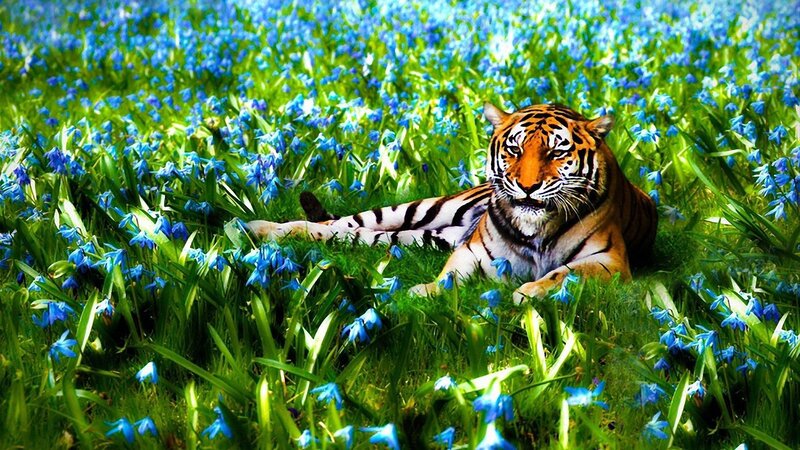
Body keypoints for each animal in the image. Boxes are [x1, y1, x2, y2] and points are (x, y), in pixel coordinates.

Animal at [248, 103, 658, 304]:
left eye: (557, 152)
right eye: (515, 149)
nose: (527, 187)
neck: (535, 229)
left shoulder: (608, 260)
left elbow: (563, 273)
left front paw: (527, 293)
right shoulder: (473, 250)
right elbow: (449, 276)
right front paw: (424, 293)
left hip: (422, 236)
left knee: (352, 235)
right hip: (418, 210)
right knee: (339, 224)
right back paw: (260, 228)